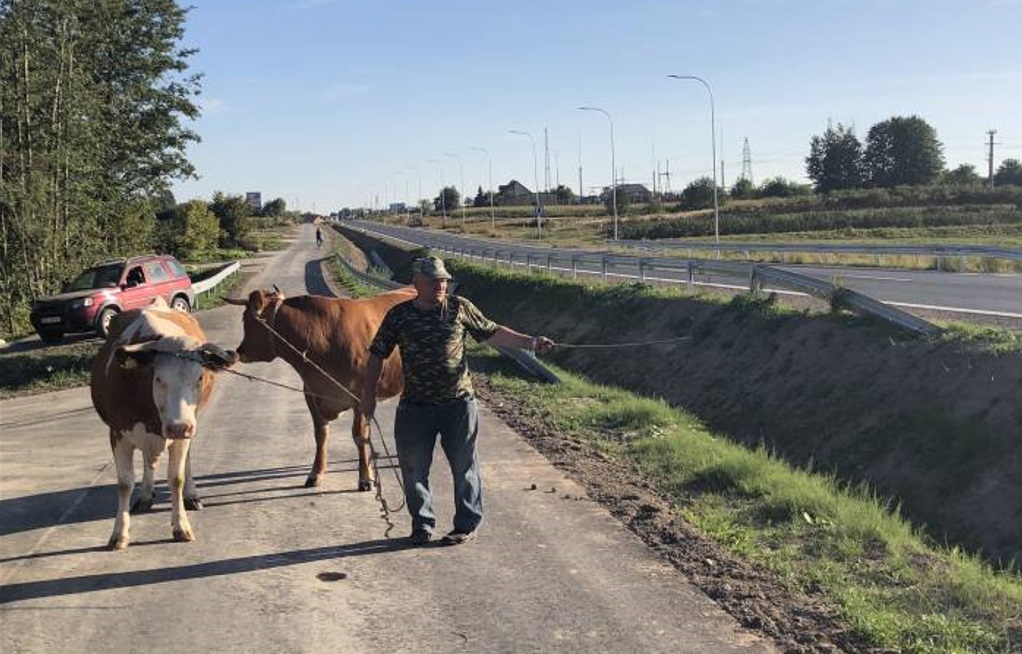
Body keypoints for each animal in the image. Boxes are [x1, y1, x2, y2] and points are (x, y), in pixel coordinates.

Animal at [90, 298, 235, 547]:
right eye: (158, 378)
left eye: (199, 377)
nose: (178, 427)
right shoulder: (117, 433)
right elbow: (125, 483)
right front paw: (119, 533)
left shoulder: (184, 431)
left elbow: (175, 478)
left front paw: (181, 526)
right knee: (148, 462)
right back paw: (146, 495)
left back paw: (191, 496)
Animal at [225, 286, 412, 490]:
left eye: (247, 320)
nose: (237, 351)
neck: (324, 337)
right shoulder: (311, 393)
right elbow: (320, 434)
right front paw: (316, 473)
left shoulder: (361, 397)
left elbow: (359, 436)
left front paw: (365, 478)